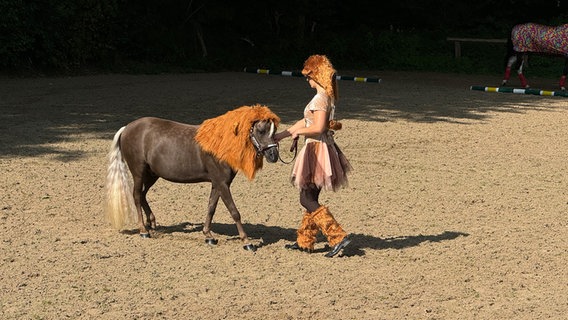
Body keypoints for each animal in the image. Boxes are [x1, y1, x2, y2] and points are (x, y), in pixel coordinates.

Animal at [105, 104, 280, 250]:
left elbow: (211, 207)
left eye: (274, 130)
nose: (274, 155)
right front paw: (247, 241)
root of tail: (127, 128)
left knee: (142, 195)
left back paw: (151, 223)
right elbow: (234, 211)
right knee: (136, 196)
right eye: (261, 130)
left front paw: (208, 236)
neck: (221, 144)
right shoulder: (222, 183)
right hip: (138, 172)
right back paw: (143, 230)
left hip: (152, 174)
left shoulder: (218, 183)